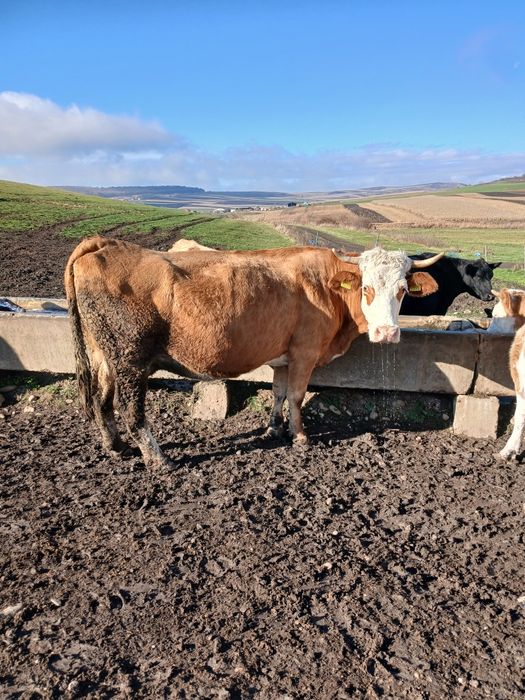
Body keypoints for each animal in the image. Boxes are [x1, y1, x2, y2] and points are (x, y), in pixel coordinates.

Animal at [65, 237, 442, 468]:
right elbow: (296, 396)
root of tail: (105, 244)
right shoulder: (304, 352)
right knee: (132, 410)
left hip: (104, 355)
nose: (387, 333)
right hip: (130, 360)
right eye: (366, 287)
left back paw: (115, 446)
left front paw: (274, 429)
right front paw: (300, 436)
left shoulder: (283, 356)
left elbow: (278, 393)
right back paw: (158, 460)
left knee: (101, 400)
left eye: (402, 289)